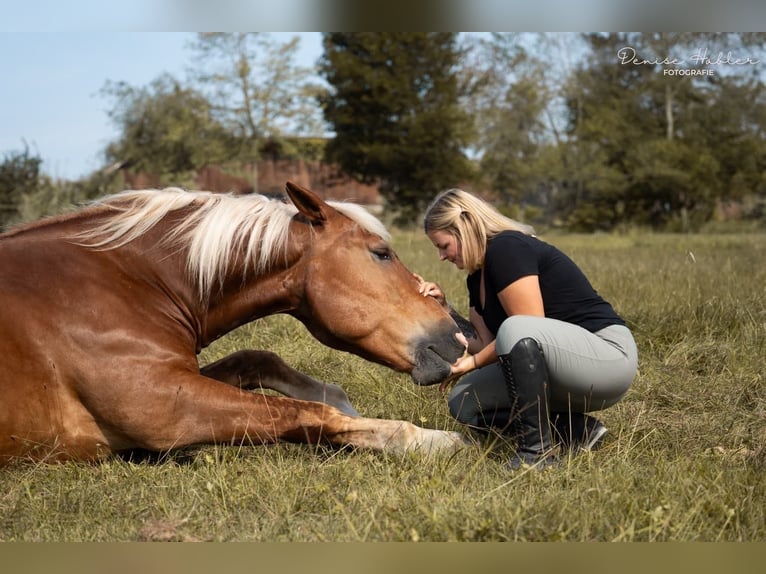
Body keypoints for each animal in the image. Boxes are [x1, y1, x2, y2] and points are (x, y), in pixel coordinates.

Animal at [0, 181, 469, 464]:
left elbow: (257, 361)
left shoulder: (179, 377)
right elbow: (305, 413)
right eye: (381, 253)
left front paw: (341, 399)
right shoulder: (159, 406)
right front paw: (429, 439)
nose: (457, 335)